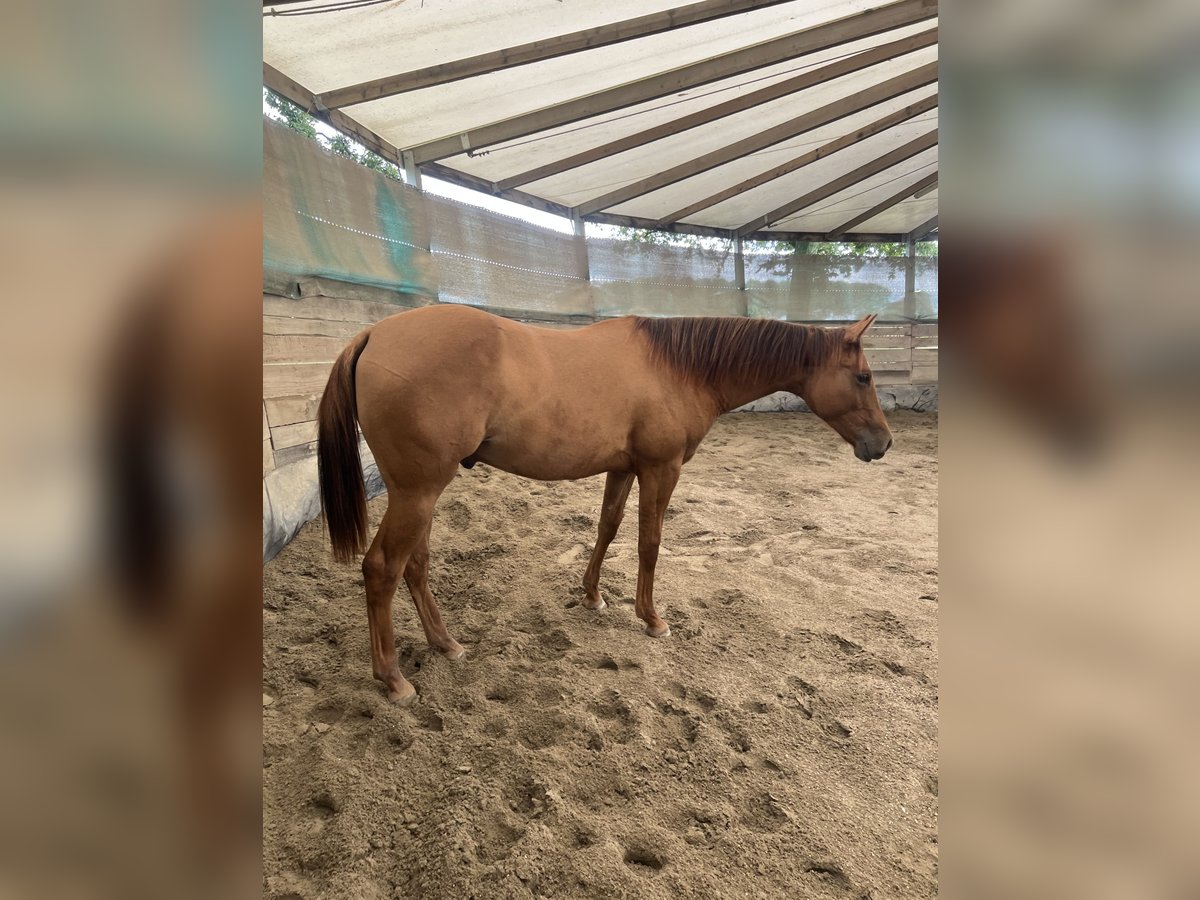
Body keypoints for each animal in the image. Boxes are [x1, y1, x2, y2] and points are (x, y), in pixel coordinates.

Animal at [317, 305, 893, 704]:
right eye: (863, 376)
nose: (883, 444)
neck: (678, 367)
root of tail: (373, 335)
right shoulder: (661, 469)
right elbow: (649, 542)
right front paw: (651, 618)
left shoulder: (623, 468)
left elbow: (607, 528)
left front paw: (593, 596)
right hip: (417, 492)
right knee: (382, 568)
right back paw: (393, 679)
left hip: (422, 494)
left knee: (415, 565)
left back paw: (446, 645)